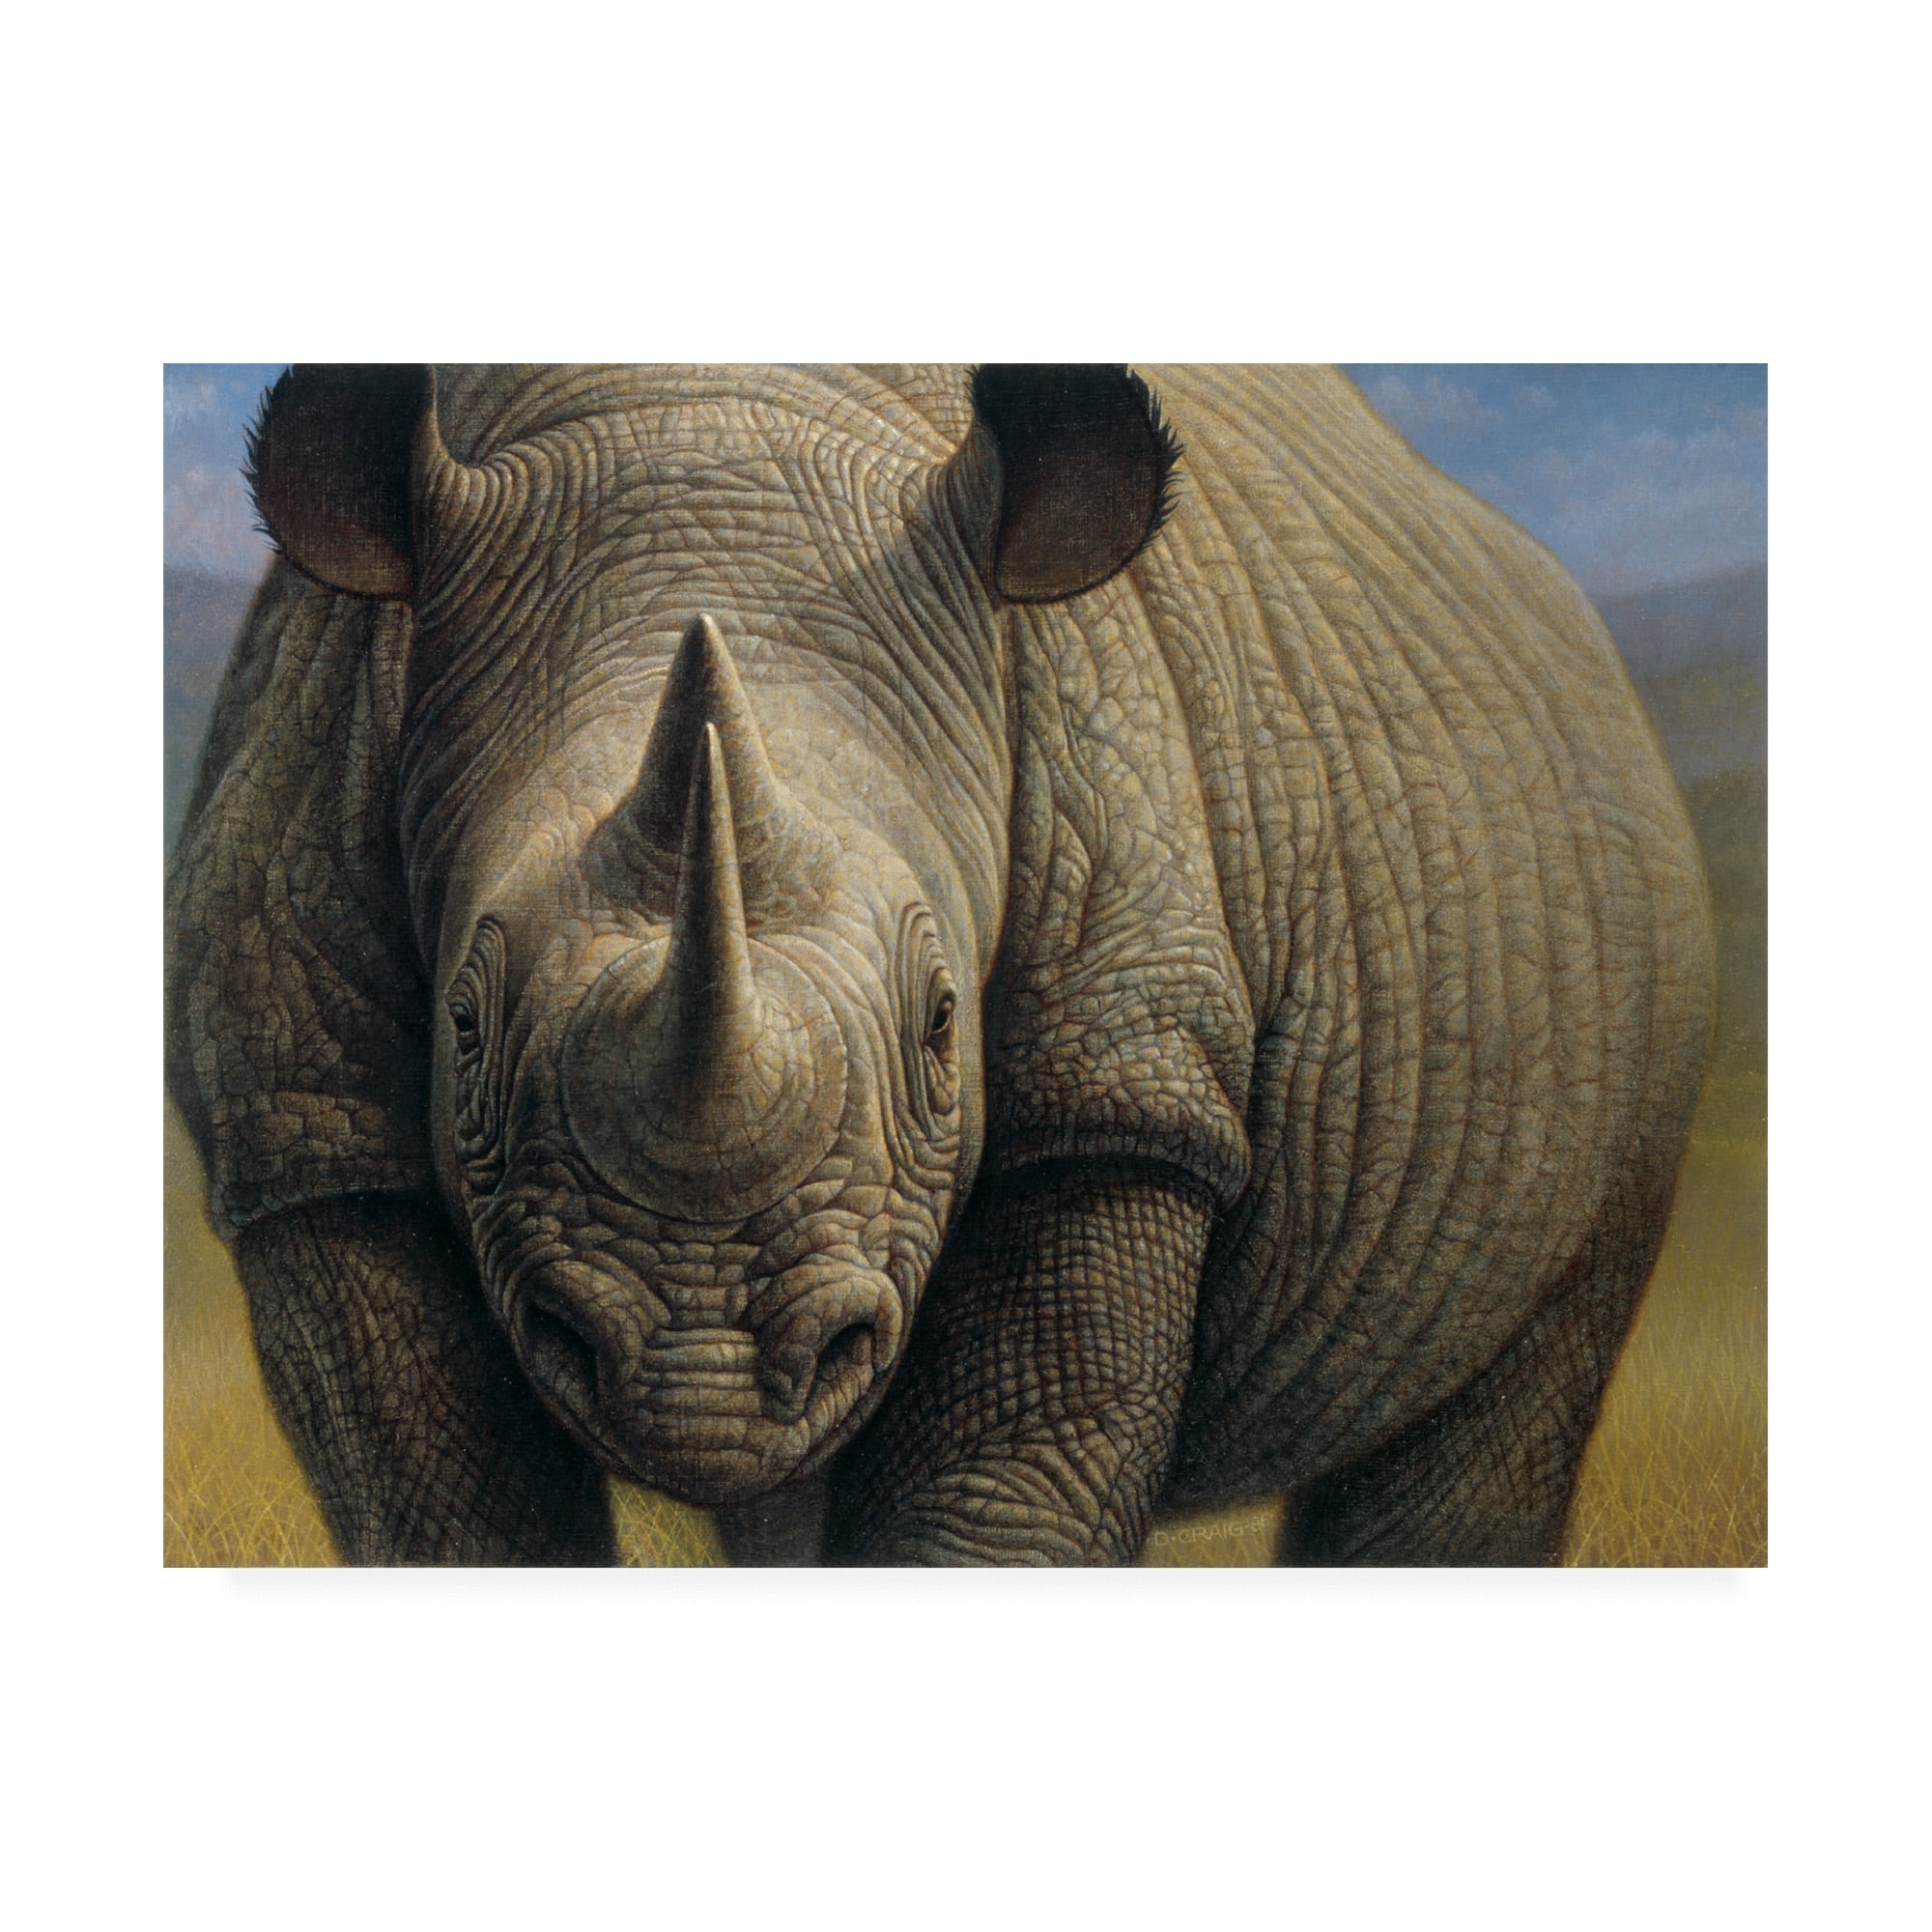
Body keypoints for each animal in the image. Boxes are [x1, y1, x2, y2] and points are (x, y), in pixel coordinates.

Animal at [165, 363, 1713, 1566]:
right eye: (467, 1023)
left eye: (941, 1023)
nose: (707, 1370)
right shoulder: (305, 1113)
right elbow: (442, 1502)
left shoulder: (1120, 1079)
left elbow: (999, 1492)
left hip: (1615, 913)